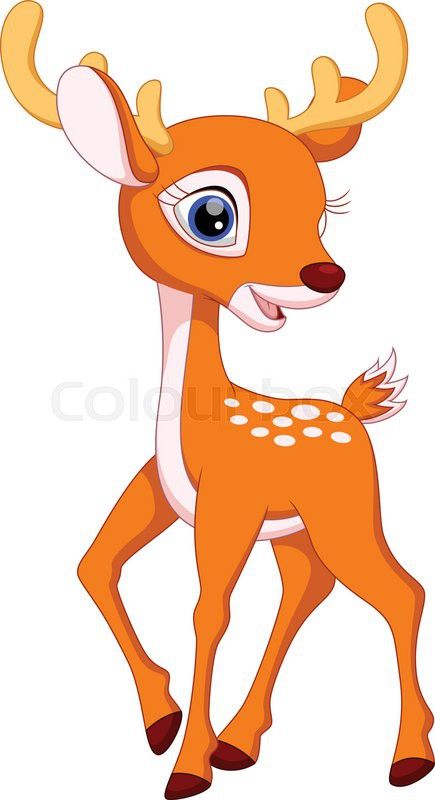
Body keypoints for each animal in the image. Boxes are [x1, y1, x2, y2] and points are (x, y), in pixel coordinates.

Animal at [2, 1, 433, 797]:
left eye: (323, 211)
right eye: (212, 215)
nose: (325, 274)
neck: (202, 420)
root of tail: (353, 413)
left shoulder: (229, 505)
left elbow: (208, 612)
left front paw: (186, 767)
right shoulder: (163, 493)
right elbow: (93, 566)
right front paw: (163, 722)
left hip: (346, 512)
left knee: (400, 591)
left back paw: (407, 757)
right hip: (298, 532)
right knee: (309, 589)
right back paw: (242, 741)